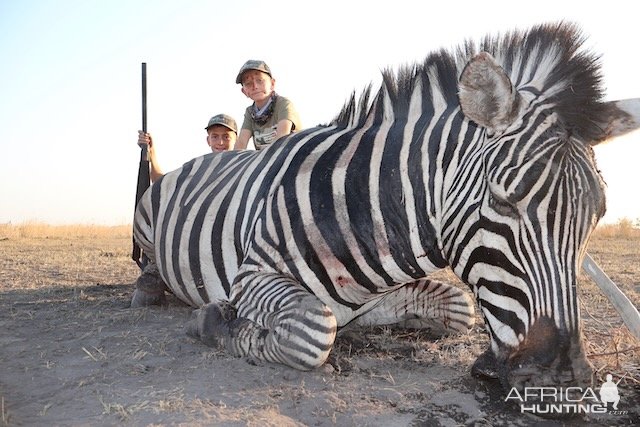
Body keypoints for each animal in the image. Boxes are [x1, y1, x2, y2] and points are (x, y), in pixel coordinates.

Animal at [131, 21, 640, 392]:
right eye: (501, 200)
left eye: (597, 217)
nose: (560, 376)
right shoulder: (253, 274)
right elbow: (312, 331)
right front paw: (215, 321)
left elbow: (459, 305)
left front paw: (400, 317)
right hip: (146, 218)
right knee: (148, 262)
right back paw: (148, 288)